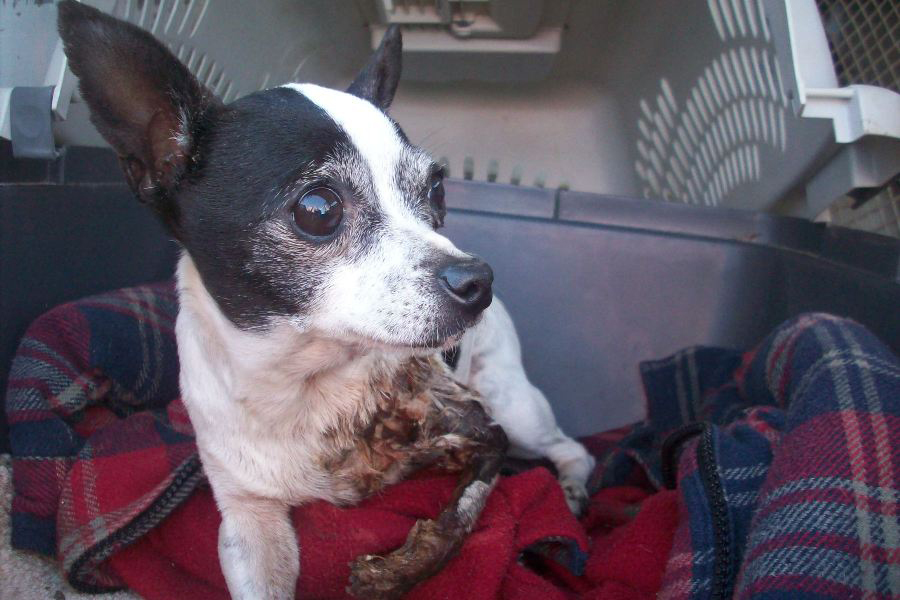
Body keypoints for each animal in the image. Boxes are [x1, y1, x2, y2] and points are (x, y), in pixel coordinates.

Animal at [58, 2, 592, 597]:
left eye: (436, 190)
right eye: (317, 209)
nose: (479, 279)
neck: (308, 388)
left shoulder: (485, 435)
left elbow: (460, 519)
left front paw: (400, 569)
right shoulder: (247, 520)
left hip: (512, 403)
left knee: (572, 449)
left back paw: (572, 492)